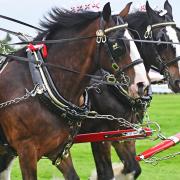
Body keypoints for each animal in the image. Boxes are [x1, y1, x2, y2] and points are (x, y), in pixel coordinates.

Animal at [0, 1, 150, 180]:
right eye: (117, 45)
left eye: (136, 41)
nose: (142, 85)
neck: (40, 84)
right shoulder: (26, 151)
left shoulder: (60, 149)